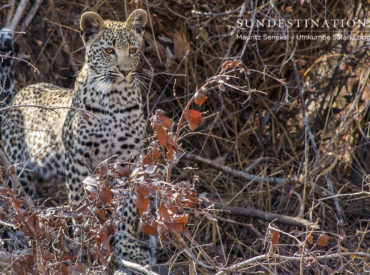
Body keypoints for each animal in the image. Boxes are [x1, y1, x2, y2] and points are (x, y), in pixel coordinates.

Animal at [1, 9, 152, 270]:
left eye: (133, 50)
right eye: (109, 50)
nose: (124, 71)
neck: (115, 99)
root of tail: (16, 97)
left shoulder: (128, 160)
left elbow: (129, 209)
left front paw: (128, 248)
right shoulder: (79, 159)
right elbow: (81, 206)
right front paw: (86, 244)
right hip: (17, 175)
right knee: (18, 209)